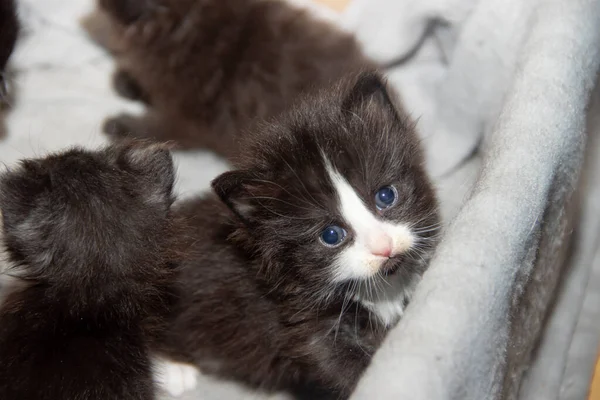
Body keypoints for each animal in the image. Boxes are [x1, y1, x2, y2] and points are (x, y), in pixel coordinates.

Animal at [157, 70, 440, 398]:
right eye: (331, 235)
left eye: (386, 196)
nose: (383, 247)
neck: (380, 286)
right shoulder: (304, 326)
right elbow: (341, 366)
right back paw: (173, 371)